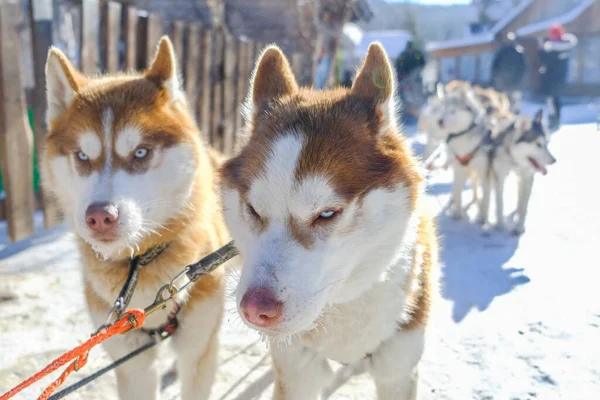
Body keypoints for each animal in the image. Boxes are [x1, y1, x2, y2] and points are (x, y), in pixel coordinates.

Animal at [41, 36, 230, 396]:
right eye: (82, 156)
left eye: (140, 152)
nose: (100, 216)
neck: (141, 264)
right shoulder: (132, 362)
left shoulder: (199, 350)